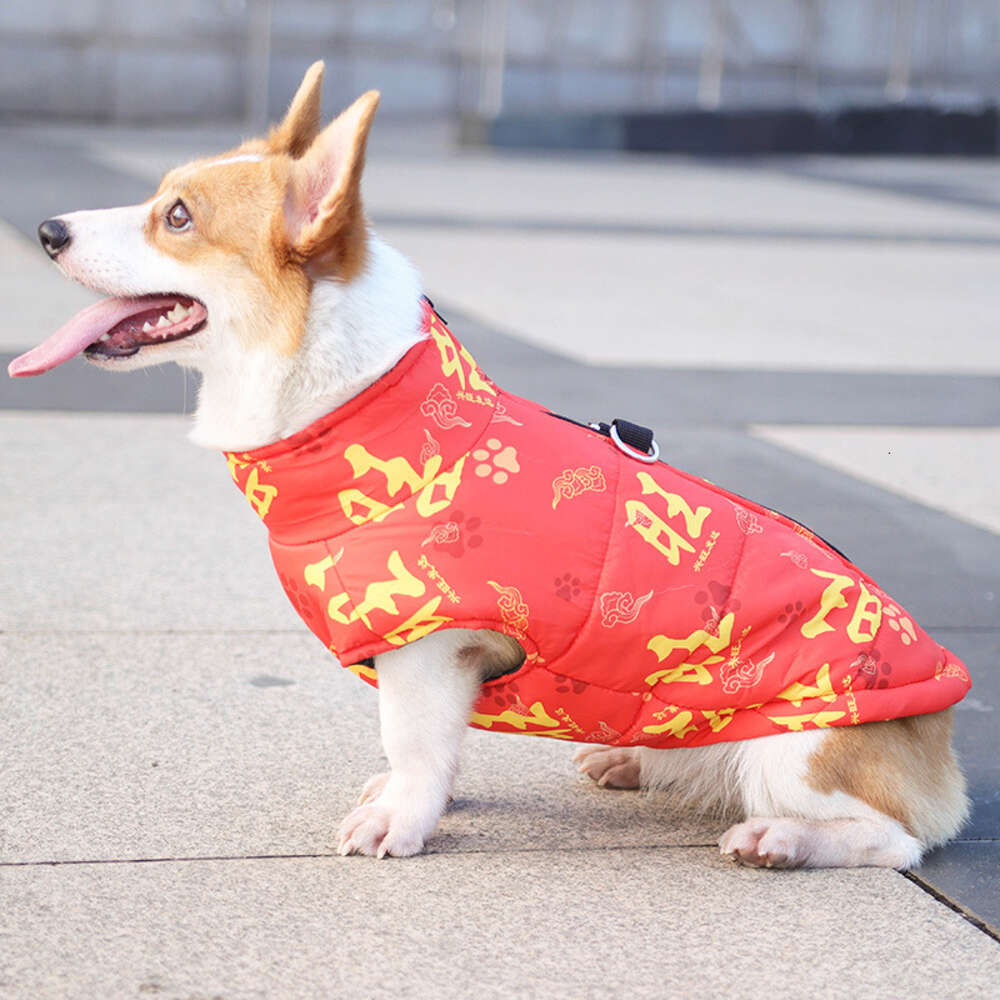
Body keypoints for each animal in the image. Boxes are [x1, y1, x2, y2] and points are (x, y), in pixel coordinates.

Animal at [9, 62, 968, 868]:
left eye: (177, 217)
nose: (47, 230)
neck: (367, 408)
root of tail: (944, 750)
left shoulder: (430, 649)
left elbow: (416, 745)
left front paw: (402, 819)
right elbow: (421, 748)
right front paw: (408, 798)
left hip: (797, 748)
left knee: (893, 840)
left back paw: (786, 840)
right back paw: (638, 760)